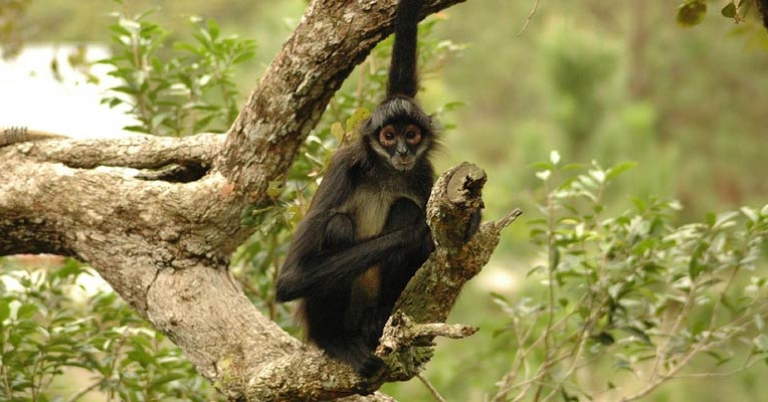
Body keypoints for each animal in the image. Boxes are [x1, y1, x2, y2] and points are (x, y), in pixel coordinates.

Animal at [275, 0, 441, 376]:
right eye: (389, 136)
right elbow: (291, 278)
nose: (403, 152)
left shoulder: (425, 174)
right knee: (337, 224)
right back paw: (336, 341)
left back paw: (376, 321)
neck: (386, 173)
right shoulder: (343, 165)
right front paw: (417, 231)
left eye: (412, 135)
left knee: (403, 206)